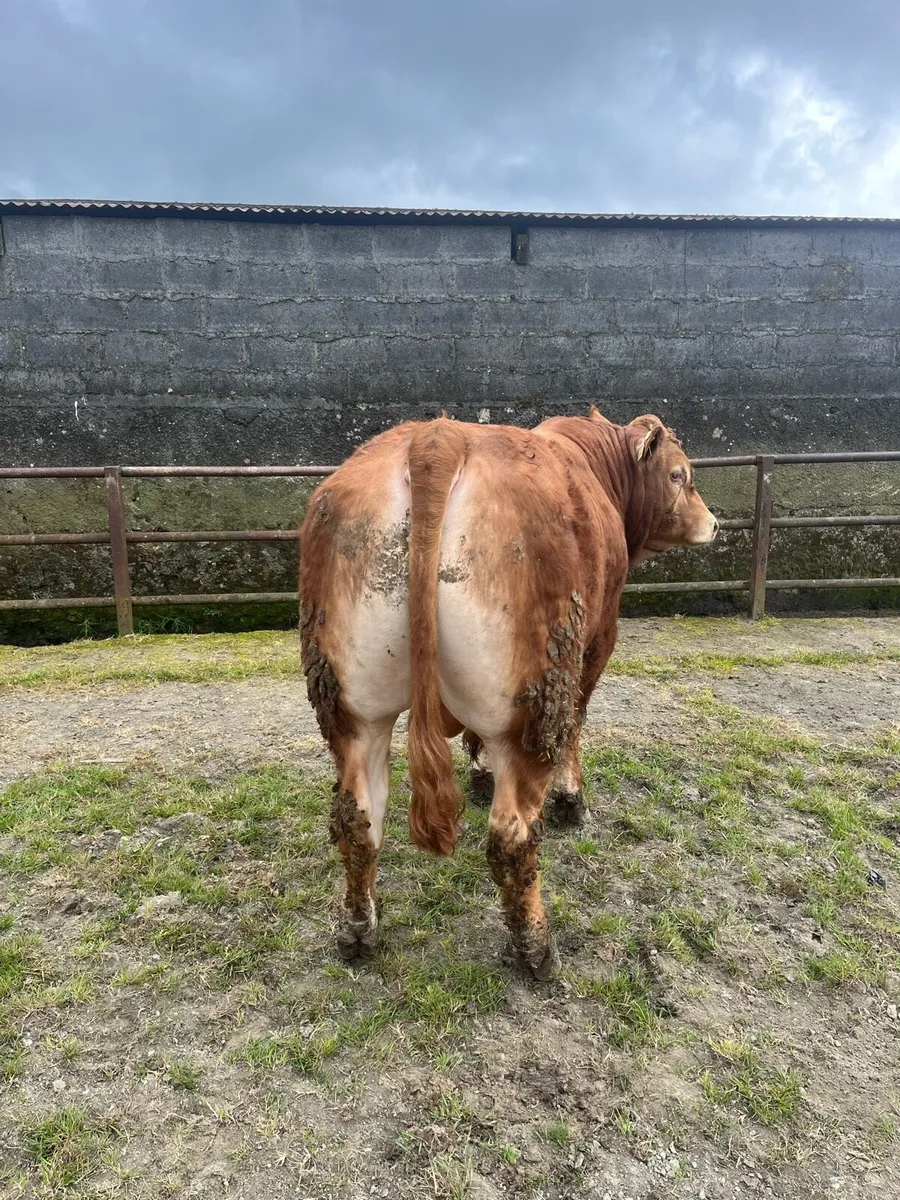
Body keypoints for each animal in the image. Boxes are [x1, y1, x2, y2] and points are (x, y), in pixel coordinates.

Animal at [299, 408, 718, 979]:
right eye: (679, 474)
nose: (714, 522)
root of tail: (438, 436)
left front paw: (479, 772)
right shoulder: (596, 643)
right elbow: (578, 726)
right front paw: (571, 800)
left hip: (352, 709)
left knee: (357, 818)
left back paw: (359, 931)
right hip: (537, 702)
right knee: (513, 835)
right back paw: (535, 948)